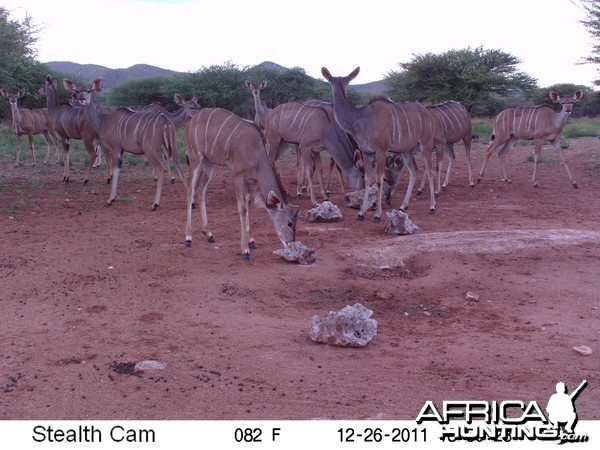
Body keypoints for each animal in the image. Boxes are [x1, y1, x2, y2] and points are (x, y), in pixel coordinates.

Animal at [63, 78, 185, 210]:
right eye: (77, 91)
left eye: (89, 91)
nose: (82, 99)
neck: (103, 120)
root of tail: (166, 122)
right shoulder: (121, 150)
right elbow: (118, 171)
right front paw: (114, 197)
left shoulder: (115, 148)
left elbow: (115, 171)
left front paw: (110, 199)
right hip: (173, 149)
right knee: (181, 169)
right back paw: (191, 203)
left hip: (149, 150)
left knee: (160, 170)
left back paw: (155, 204)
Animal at [182, 107, 296, 260]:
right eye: (289, 223)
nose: (291, 243)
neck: (255, 151)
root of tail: (190, 123)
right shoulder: (237, 175)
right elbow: (242, 208)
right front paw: (245, 250)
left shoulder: (249, 180)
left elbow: (247, 204)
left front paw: (251, 241)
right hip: (195, 158)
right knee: (190, 190)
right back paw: (188, 237)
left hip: (209, 162)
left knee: (201, 189)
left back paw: (209, 234)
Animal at [322, 67, 434, 221]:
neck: (361, 119)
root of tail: (427, 112)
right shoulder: (366, 152)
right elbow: (368, 179)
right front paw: (361, 213)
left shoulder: (381, 150)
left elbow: (379, 180)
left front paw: (377, 215)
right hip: (407, 150)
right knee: (414, 170)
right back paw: (403, 206)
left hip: (425, 145)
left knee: (429, 170)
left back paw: (432, 207)